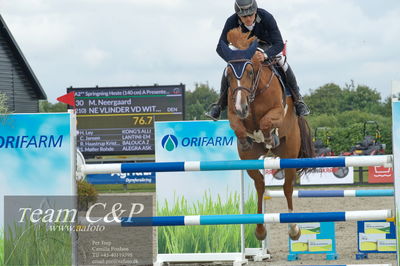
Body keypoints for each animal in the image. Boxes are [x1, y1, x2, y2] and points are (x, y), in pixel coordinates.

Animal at [219, 28, 316, 242]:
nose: (241, 107)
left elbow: (265, 122)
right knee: (260, 185)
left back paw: (294, 230)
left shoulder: (277, 112)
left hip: (289, 154)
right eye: (228, 75)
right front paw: (246, 140)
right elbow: (238, 126)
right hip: (251, 162)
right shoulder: (233, 114)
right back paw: (260, 230)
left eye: (249, 71)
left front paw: (269, 136)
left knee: (287, 187)